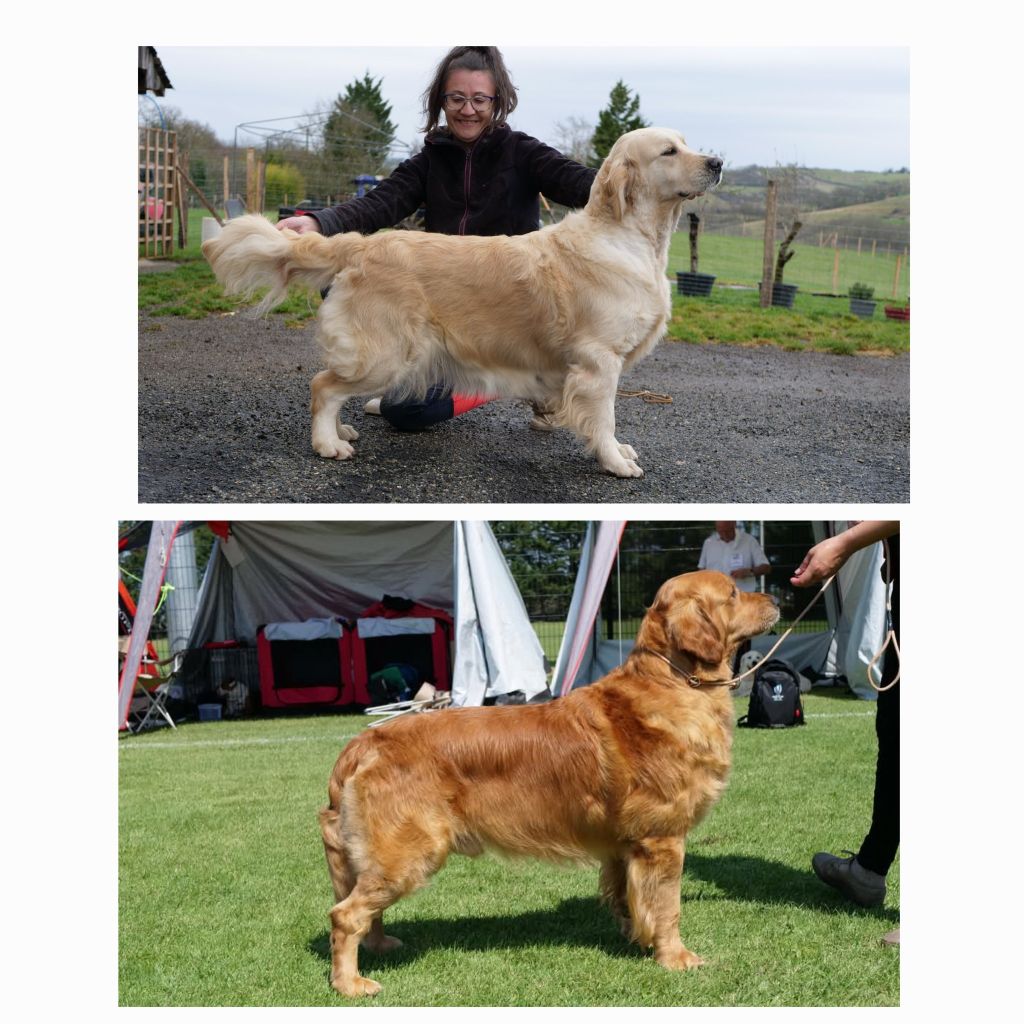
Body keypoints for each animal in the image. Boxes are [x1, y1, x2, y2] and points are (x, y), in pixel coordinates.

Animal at [201, 125, 720, 477]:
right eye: (669, 151)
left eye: (686, 142)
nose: (716, 162)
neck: (635, 240)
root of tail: (361, 245)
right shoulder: (599, 360)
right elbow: (606, 417)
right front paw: (614, 460)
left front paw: (618, 451)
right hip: (387, 353)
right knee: (323, 386)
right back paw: (329, 445)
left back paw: (342, 429)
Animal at [315, 569, 778, 991]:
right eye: (733, 593)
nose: (776, 598)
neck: (674, 682)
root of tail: (363, 743)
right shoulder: (662, 839)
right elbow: (667, 907)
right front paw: (676, 957)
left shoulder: (623, 845)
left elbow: (627, 899)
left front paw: (636, 939)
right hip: (408, 852)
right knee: (344, 915)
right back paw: (350, 982)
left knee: (362, 909)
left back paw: (378, 945)